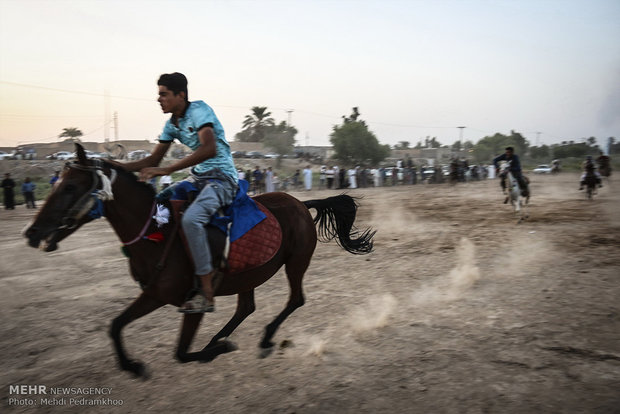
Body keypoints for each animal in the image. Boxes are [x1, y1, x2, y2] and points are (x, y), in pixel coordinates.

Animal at [24, 146, 372, 378]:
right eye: (57, 183)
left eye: (70, 186)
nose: (32, 232)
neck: (159, 232)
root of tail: (301, 203)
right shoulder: (154, 293)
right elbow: (116, 325)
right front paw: (132, 365)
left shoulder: (194, 301)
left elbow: (181, 353)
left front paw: (213, 352)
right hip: (248, 274)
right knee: (246, 307)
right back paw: (219, 338)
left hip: (296, 261)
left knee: (295, 299)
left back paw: (260, 339)